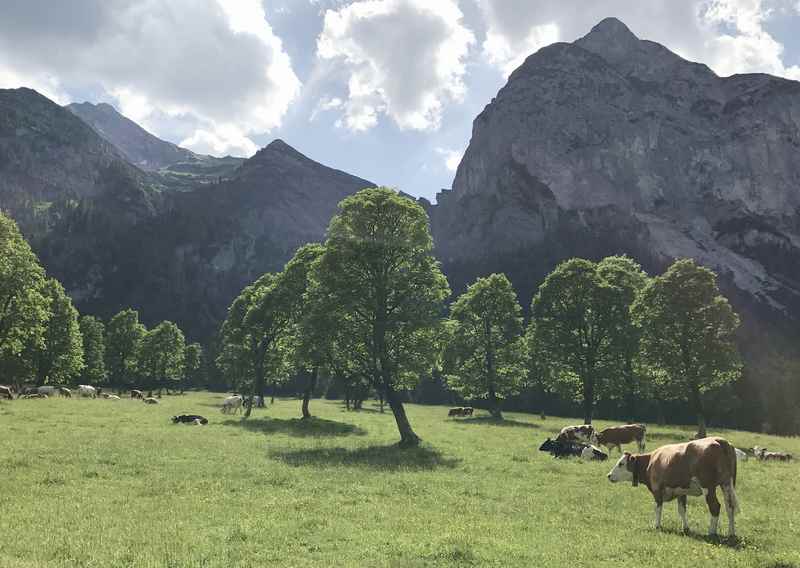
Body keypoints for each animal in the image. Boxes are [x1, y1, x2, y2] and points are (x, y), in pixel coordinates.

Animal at [608, 434, 740, 536]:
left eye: (621, 463)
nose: (609, 475)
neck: (651, 461)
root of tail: (719, 440)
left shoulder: (657, 489)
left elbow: (658, 508)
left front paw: (656, 525)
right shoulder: (681, 491)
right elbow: (682, 510)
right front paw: (685, 528)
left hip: (708, 487)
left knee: (715, 506)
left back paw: (711, 532)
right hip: (727, 484)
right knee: (730, 507)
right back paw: (731, 533)